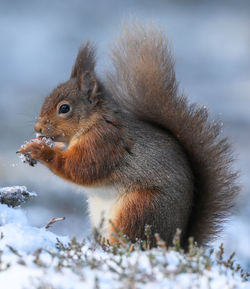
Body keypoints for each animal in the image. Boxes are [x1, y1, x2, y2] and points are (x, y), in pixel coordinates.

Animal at [18, 23, 238, 246]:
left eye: (64, 108)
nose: (38, 128)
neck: (94, 121)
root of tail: (175, 242)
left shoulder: (105, 142)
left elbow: (81, 168)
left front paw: (39, 149)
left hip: (139, 208)